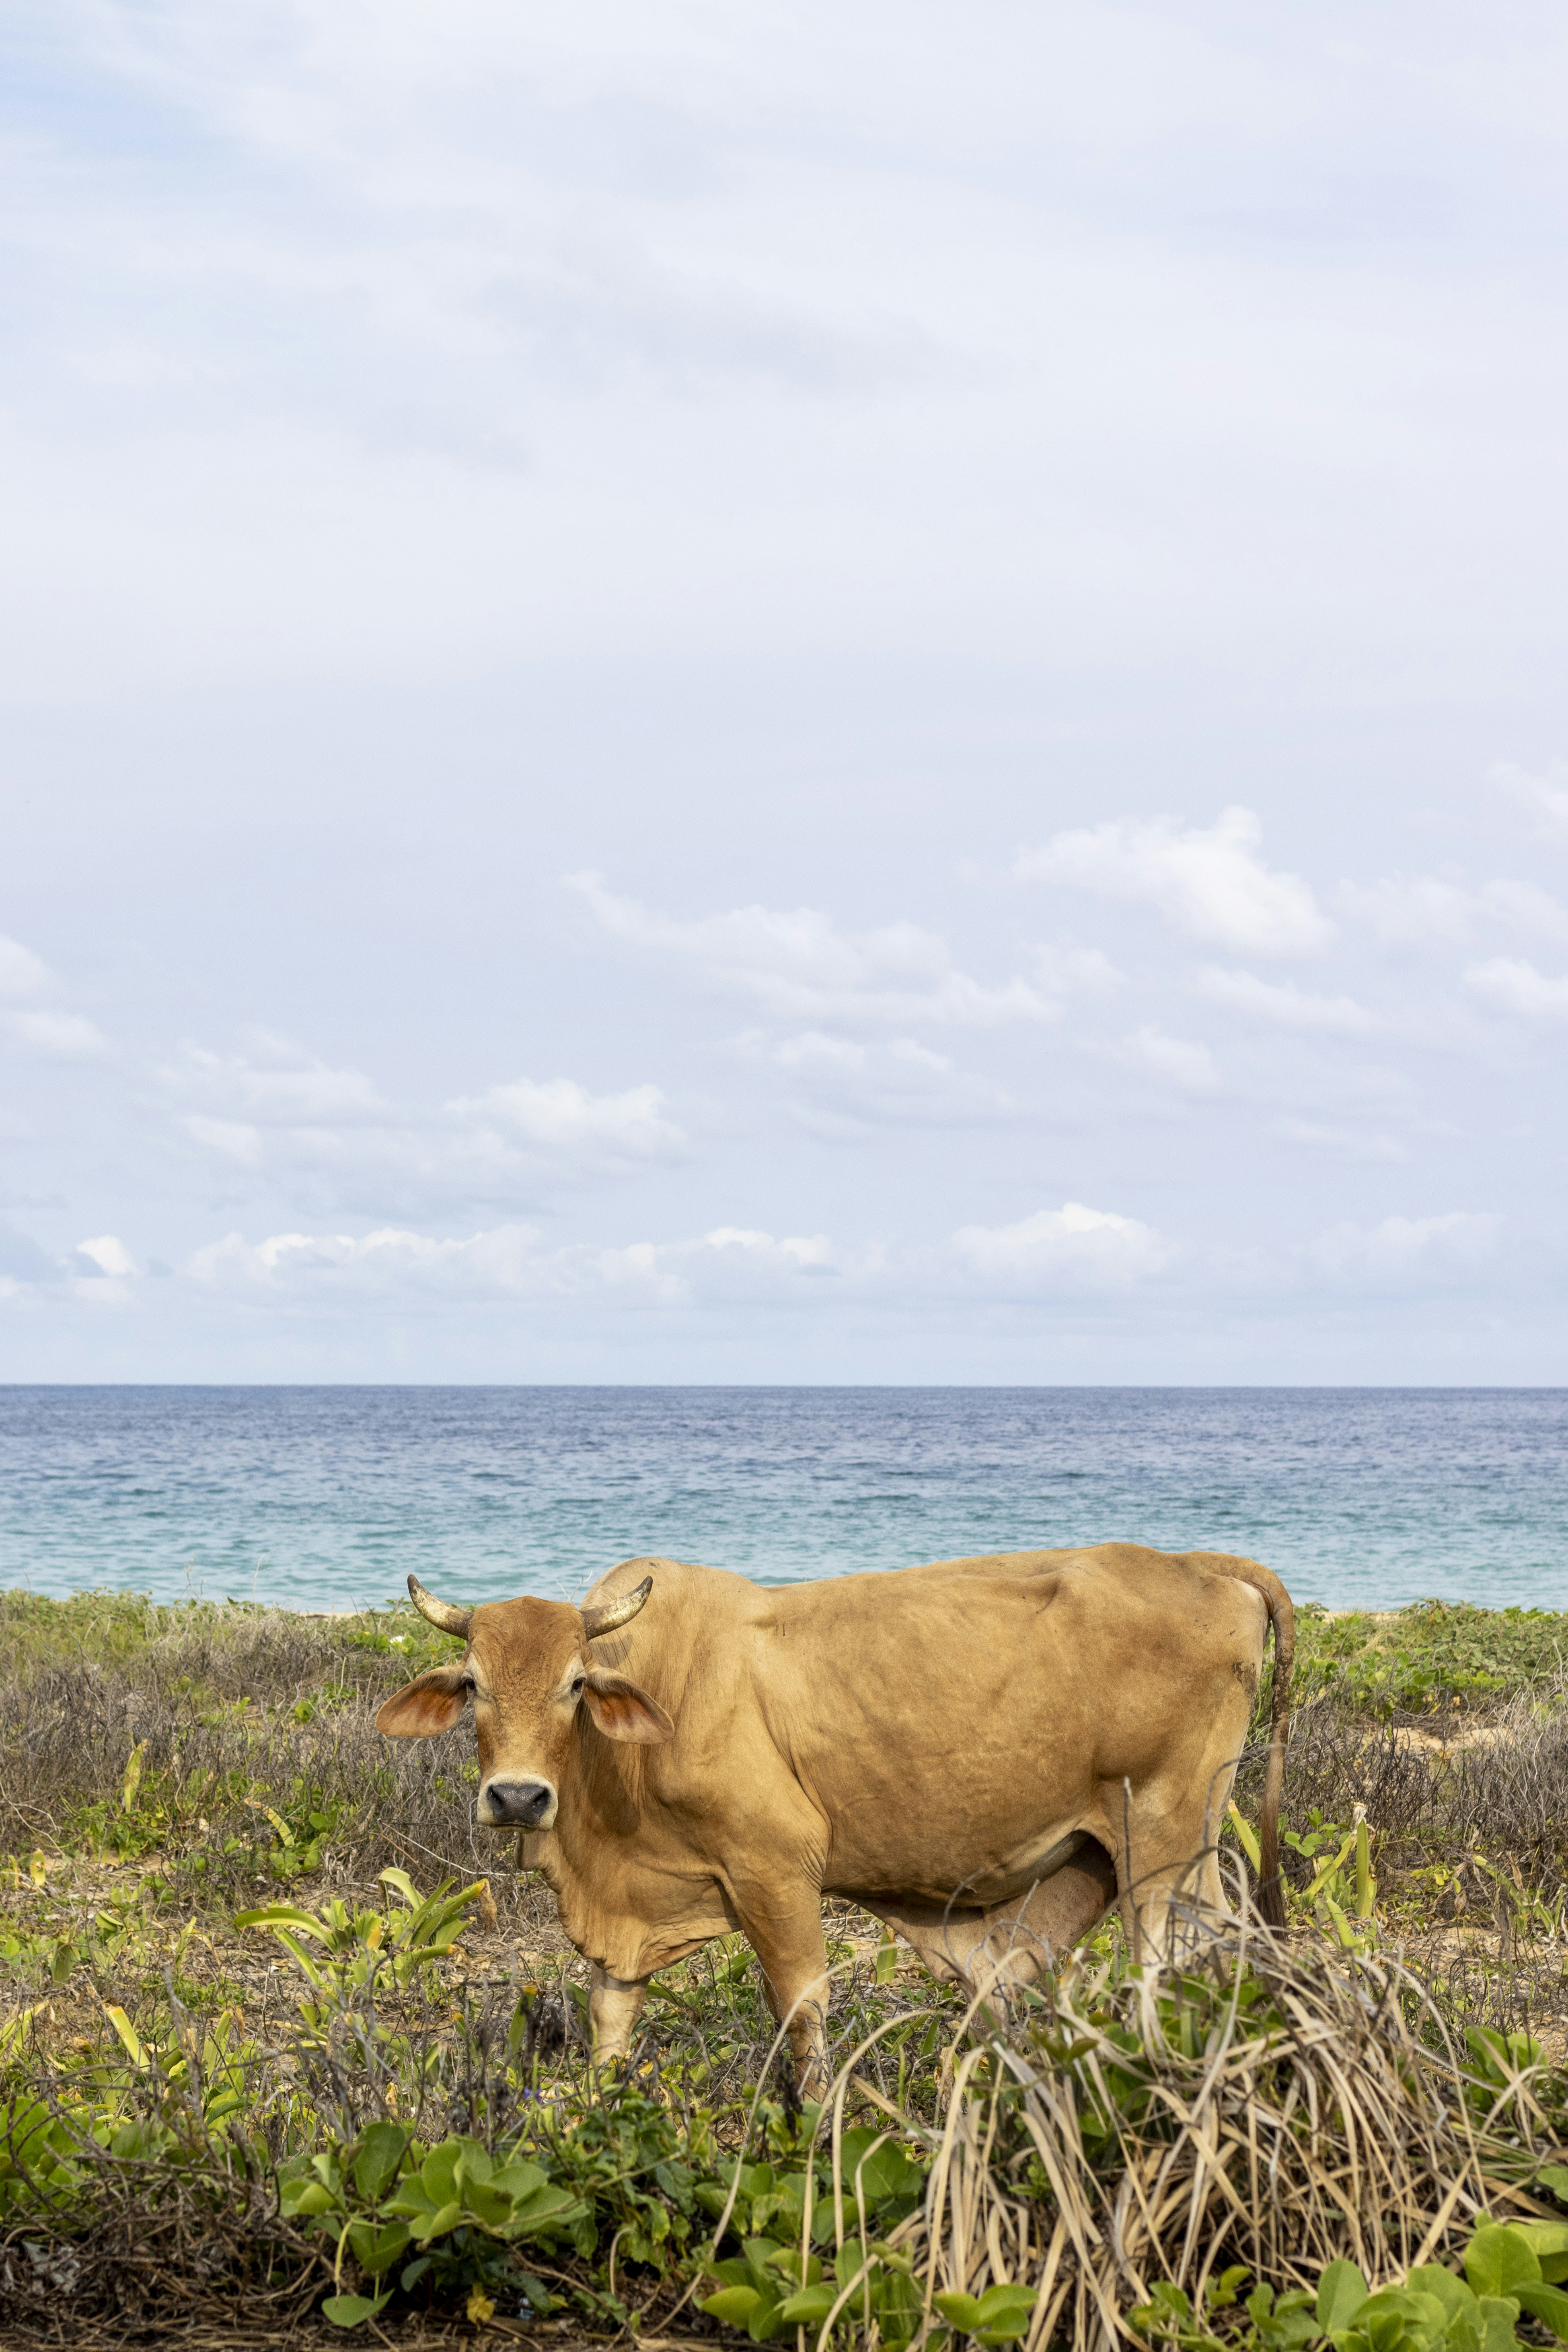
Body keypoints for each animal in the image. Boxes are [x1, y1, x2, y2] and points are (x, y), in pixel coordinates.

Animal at [376, 1543, 1293, 2093]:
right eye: (472, 1683)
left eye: (574, 1682)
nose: (518, 1796)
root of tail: (1199, 1563)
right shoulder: (628, 1910)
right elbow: (611, 2011)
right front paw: (599, 2108)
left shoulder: (774, 1868)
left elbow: (801, 2005)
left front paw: (818, 2120)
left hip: (1160, 1836)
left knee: (1168, 1957)